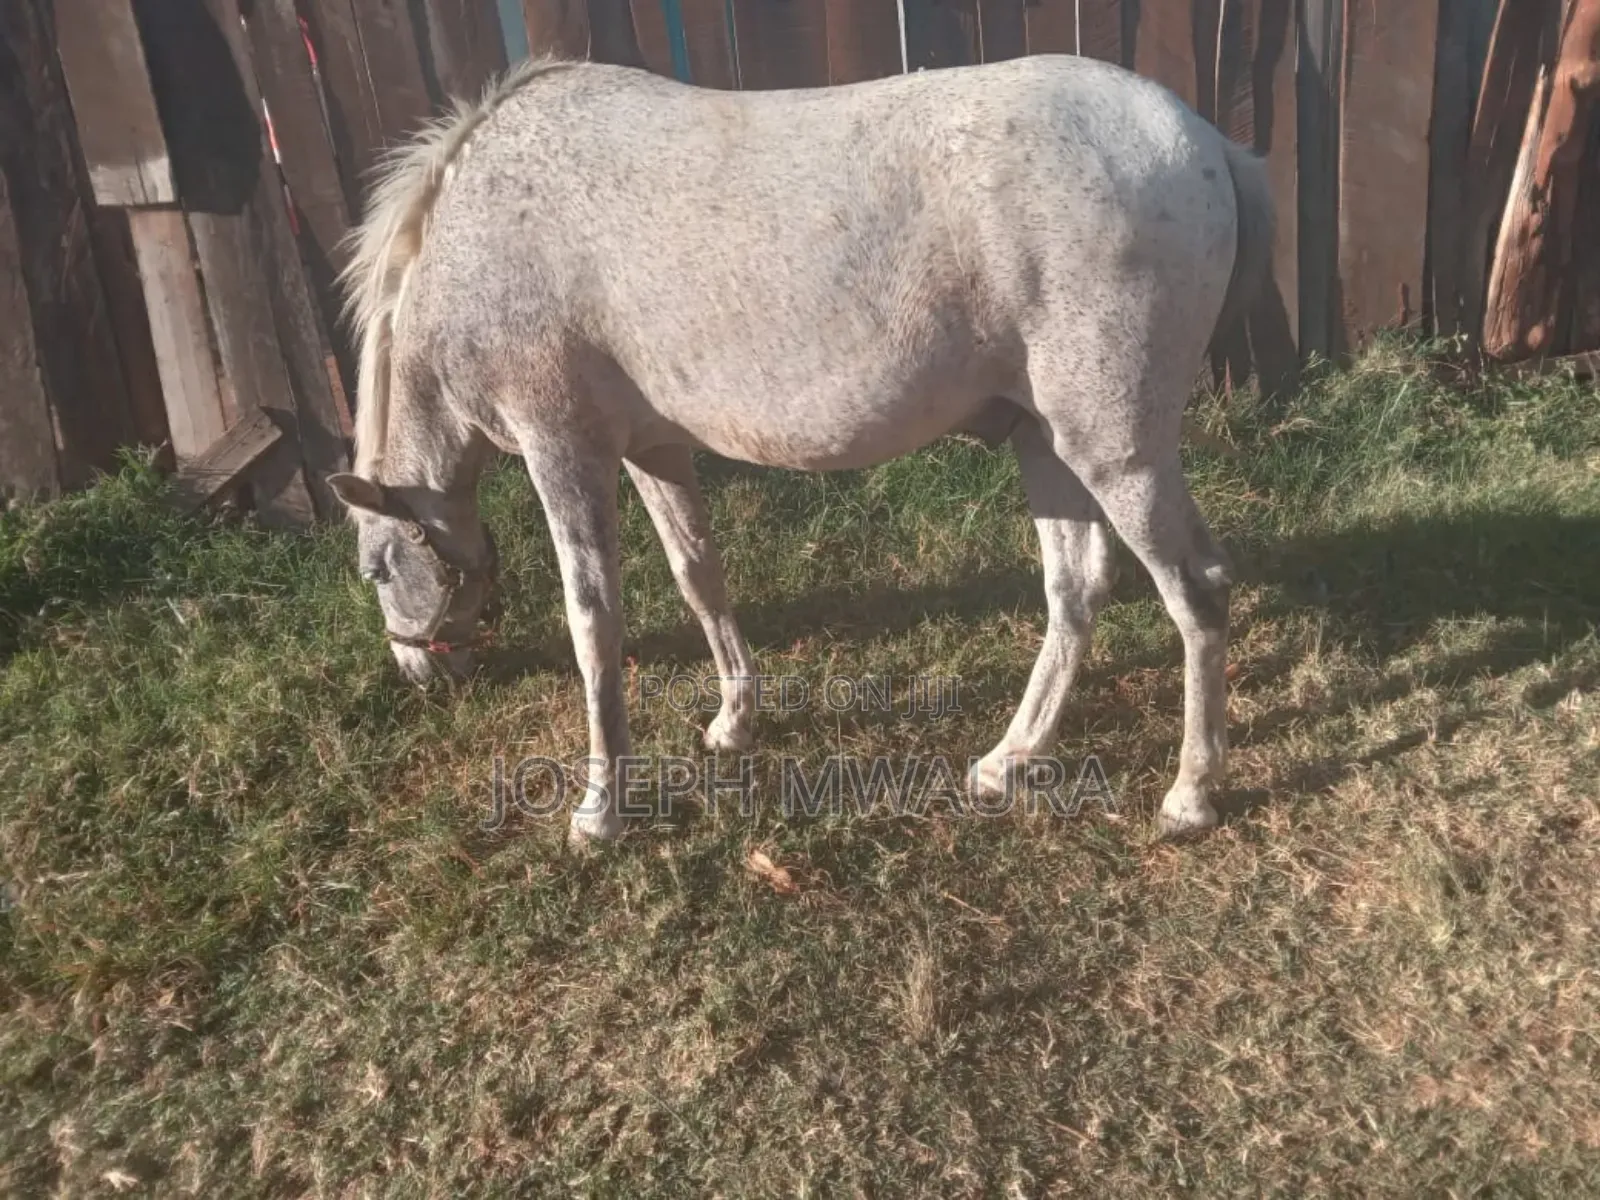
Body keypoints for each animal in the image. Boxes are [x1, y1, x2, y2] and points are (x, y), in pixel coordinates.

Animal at [325, 51, 1274, 845]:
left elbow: (593, 620)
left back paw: (1190, 795)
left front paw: (600, 809)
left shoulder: (562, 447)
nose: (416, 671)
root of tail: (1204, 142)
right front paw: (734, 720)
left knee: (1196, 591)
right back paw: (1009, 760)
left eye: (376, 570)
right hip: (1045, 441)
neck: (478, 235)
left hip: (1115, 448)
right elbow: (698, 575)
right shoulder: (652, 448)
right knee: (1075, 589)